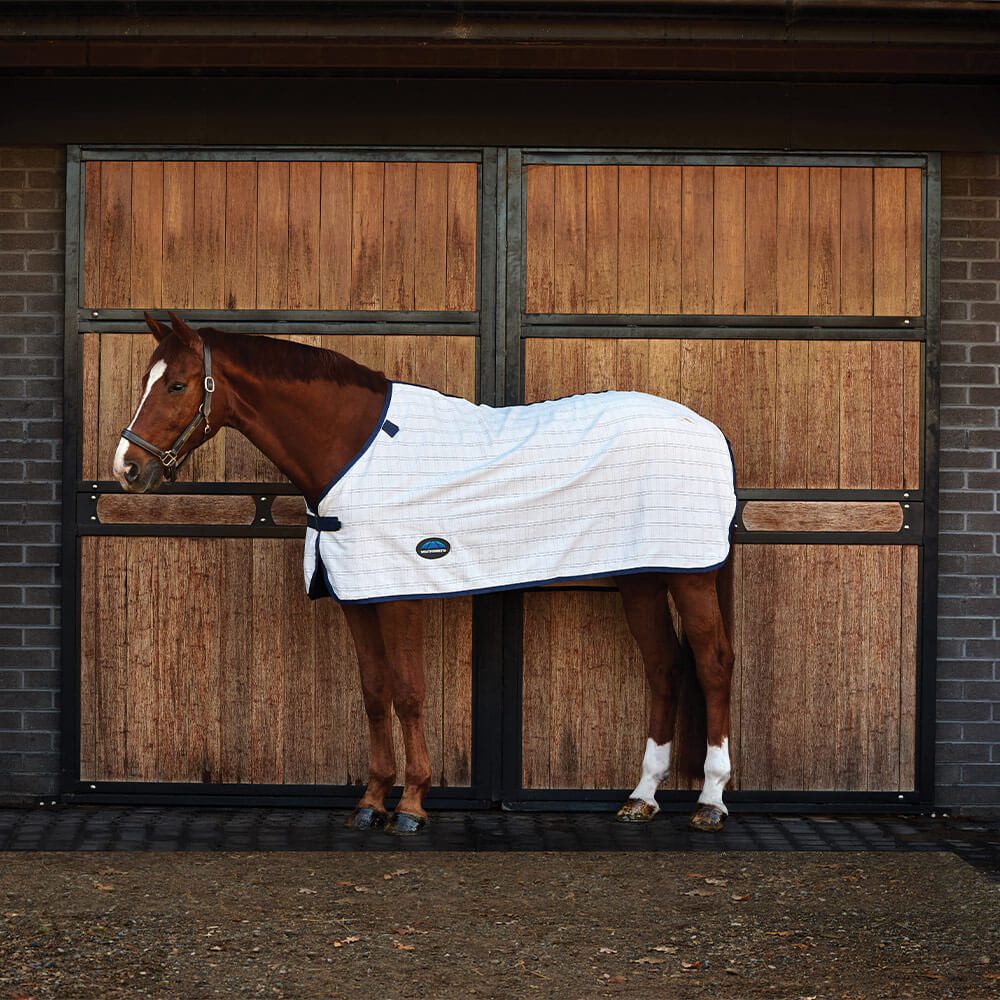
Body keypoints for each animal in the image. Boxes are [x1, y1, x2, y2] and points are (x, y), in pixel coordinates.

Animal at [113, 312, 737, 834]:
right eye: (146, 378)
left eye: (176, 385)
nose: (128, 468)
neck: (353, 450)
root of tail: (708, 429)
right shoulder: (358, 595)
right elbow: (374, 694)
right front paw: (371, 802)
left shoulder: (400, 592)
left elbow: (409, 692)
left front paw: (412, 805)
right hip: (643, 576)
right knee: (663, 667)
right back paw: (642, 796)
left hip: (689, 575)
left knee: (711, 664)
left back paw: (710, 800)